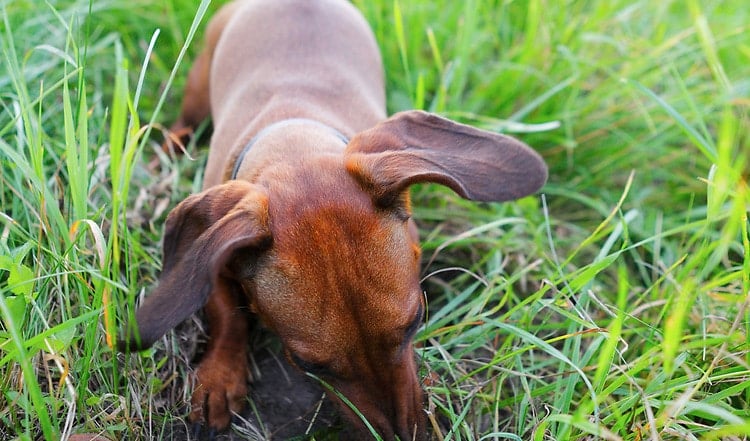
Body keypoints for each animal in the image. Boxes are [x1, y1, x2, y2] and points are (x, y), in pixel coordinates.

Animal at [122, 0, 548, 438]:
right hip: (197, 85)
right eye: (308, 365)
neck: (293, 133)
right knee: (181, 126)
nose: (402, 435)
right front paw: (221, 376)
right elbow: (227, 314)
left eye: (416, 320)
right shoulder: (218, 257)